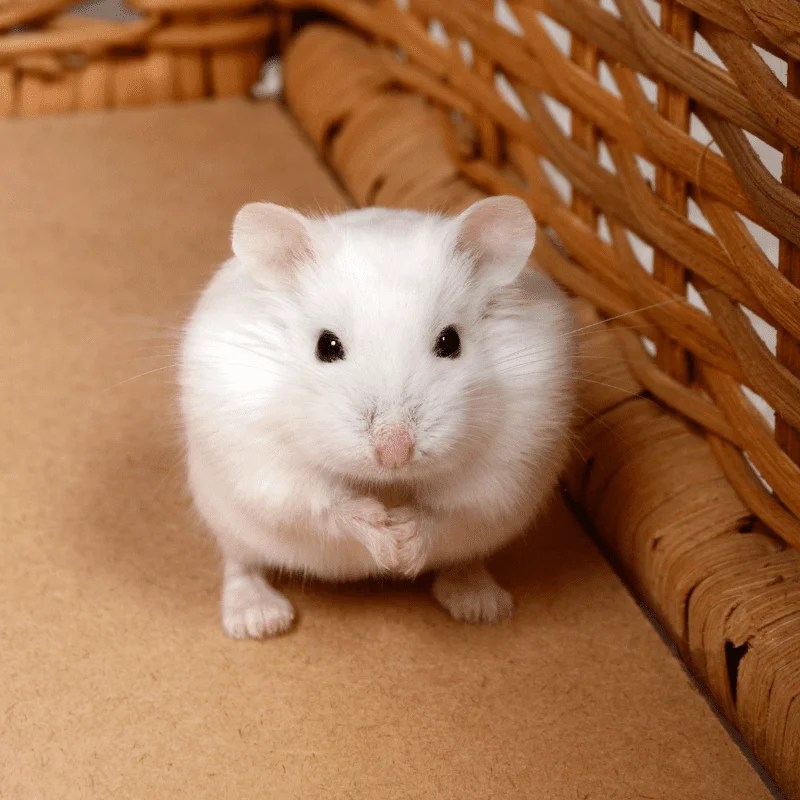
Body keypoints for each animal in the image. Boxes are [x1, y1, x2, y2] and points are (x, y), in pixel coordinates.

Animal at [179, 196, 574, 639]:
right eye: (326, 346)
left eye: (450, 341)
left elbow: (448, 509)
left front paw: (402, 544)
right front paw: (387, 543)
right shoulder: (263, 462)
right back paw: (260, 621)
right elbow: (323, 503)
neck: (387, 483)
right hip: (227, 519)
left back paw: (481, 605)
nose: (394, 453)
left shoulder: (508, 463)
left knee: (463, 558)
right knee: (241, 564)